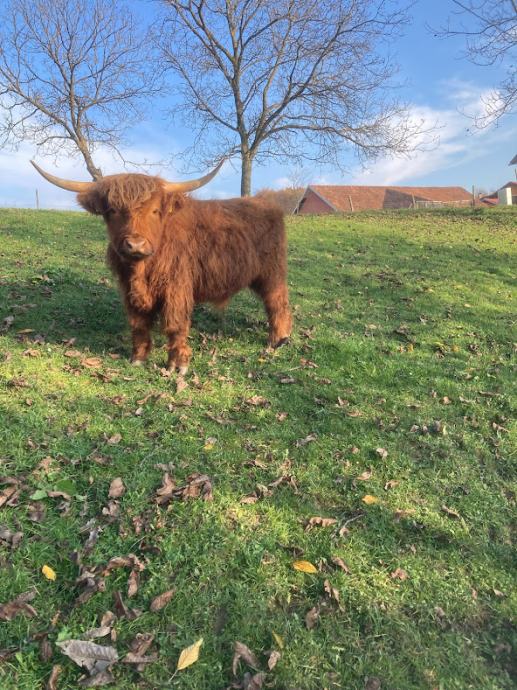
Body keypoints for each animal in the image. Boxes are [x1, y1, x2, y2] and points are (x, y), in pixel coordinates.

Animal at [31, 159, 290, 374]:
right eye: (112, 211)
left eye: (155, 211)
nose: (135, 244)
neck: (141, 270)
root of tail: (266, 203)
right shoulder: (128, 289)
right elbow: (138, 323)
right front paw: (138, 357)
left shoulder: (176, 288)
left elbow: (175, 325)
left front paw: (177, 364)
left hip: (272, 272)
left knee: (277, 302)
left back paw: (279, 339)